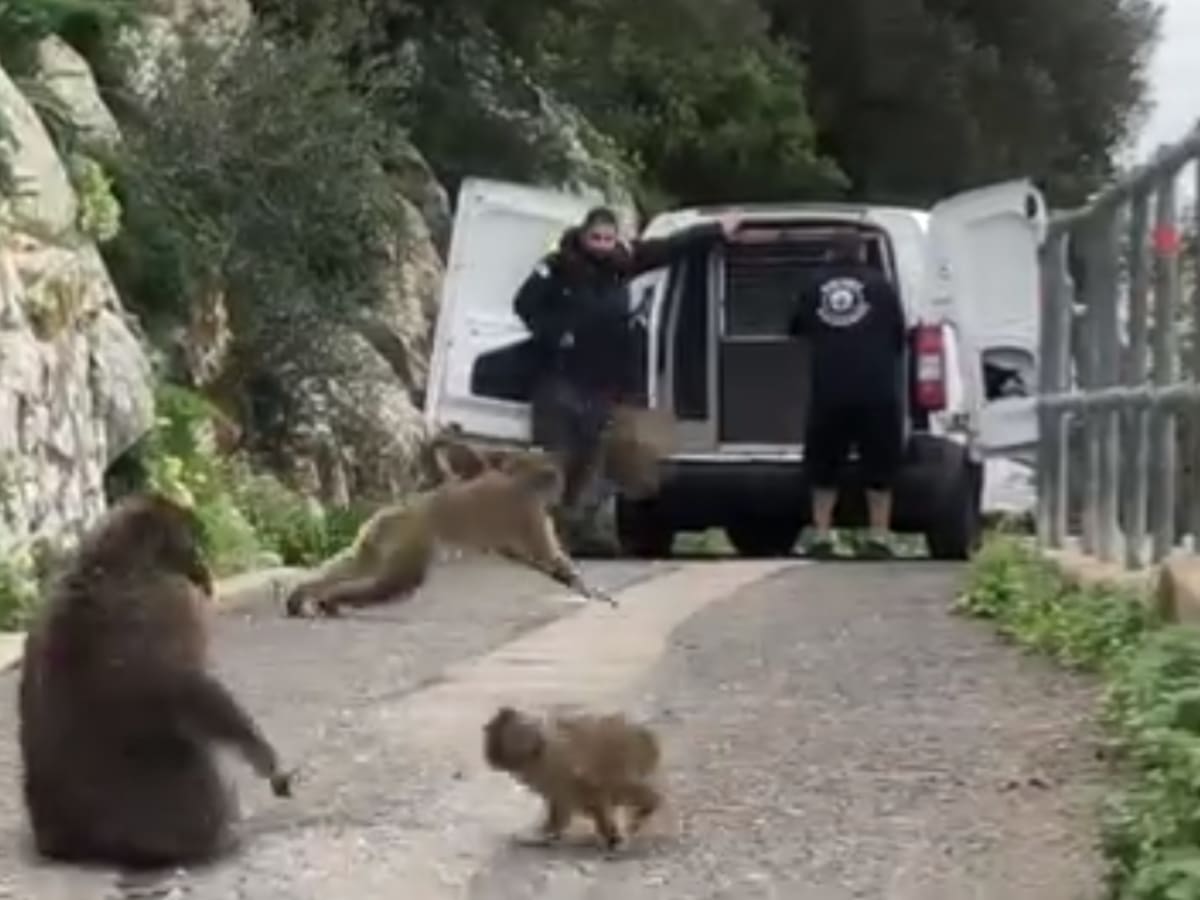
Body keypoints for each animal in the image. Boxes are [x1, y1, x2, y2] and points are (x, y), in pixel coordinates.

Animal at [17, 492, 294, 870]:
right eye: (190, 539)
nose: (202, 562)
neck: (109, 563)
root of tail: (81, 842)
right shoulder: (170, 600)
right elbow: (192, 690)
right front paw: (267, 759)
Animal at [284, 450, 616, 617]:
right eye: (554, 481)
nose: (558, 494)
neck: (517, 479)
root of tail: (397, 513)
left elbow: (533, 561)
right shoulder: (528, 511)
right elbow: (547, 558)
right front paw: (582, 584)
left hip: (378, 539)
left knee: (357, 566)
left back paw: (310, 595)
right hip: (412, 539)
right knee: (396, 583)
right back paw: (336, 599)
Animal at [482, 705, 664, 851]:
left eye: (493, 741)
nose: (491, 759)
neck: (538, 747)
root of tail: (646, 735)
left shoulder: (553, 763)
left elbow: (574, 794)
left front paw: (544, 832)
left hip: (626, 755)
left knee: (615, 785)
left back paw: (647, 807)